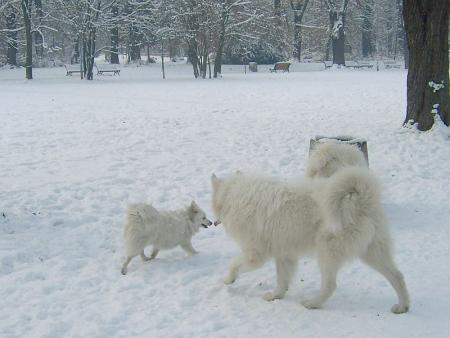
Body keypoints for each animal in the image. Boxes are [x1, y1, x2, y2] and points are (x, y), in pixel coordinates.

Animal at [210, 169, 408, 314]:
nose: (212, 222)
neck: (233, 196)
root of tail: (362, 200)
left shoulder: (255, 255)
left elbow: (234, 264)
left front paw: (229, 280)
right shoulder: (285, 255)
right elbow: (282, 281)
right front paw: (275, 296)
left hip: (327, 253)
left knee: (330, 286)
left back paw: (312, 303)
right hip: (372, 253)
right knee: (397, 276)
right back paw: (402, 307)